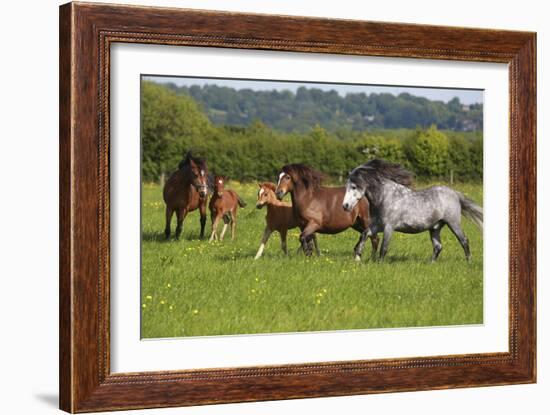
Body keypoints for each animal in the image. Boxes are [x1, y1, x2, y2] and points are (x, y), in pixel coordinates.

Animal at [342, 160, 486, 264]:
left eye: (354, 187)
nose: (345, 206)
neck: (386, 197)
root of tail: (454, 193)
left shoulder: (389, 227)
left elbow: (384, 247)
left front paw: (379, 263)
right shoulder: (377, 226)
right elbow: (364, 235)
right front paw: (357, 257)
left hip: (453, 223)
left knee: (464, 241)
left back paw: (469, 262)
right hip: (435, 228)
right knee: (438, 246)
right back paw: (430, 264)